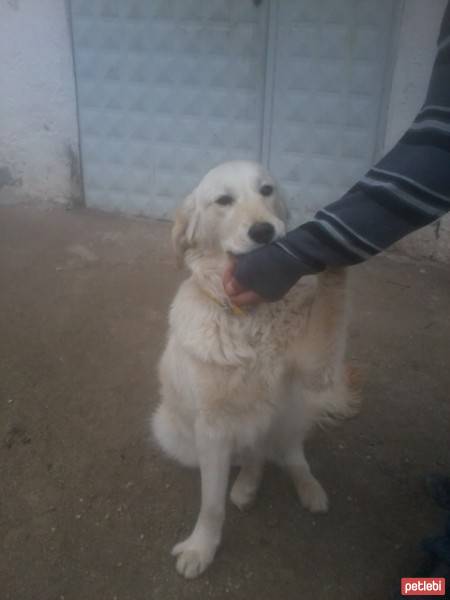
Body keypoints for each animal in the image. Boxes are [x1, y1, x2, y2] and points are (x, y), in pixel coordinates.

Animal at [153, 159, 356, 576]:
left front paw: (331, 243)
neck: (251, 317)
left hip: (293, 411)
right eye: (223, 200)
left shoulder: (317, 366)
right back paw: (246, 486)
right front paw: (201, 548)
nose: (264, 232)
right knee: (254, 456)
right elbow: (212, 505)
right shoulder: (213, 430)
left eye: (266, 190)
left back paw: (308, 487)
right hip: (172, 432)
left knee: (288, 454)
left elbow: (332, 302)